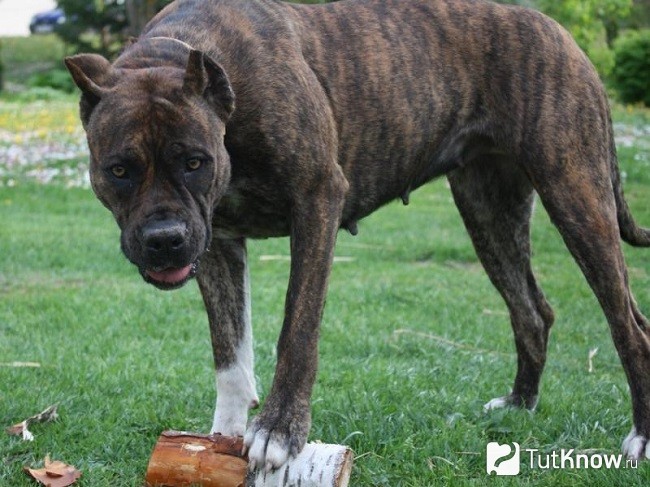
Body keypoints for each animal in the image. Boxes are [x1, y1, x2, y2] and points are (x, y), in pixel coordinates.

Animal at [67, 0, 648, 472]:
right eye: (119, 170)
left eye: (195, 162)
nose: (164, 238)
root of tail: (559, 31)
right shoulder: (216, 242)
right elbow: (229, 352)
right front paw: (218, 441)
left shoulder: (317, 202)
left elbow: (297, 330)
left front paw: (279, 431)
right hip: (489, 211)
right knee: (532, 311)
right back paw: (520, 407)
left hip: (576, 195)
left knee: (628, 326)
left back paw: (640, 437)